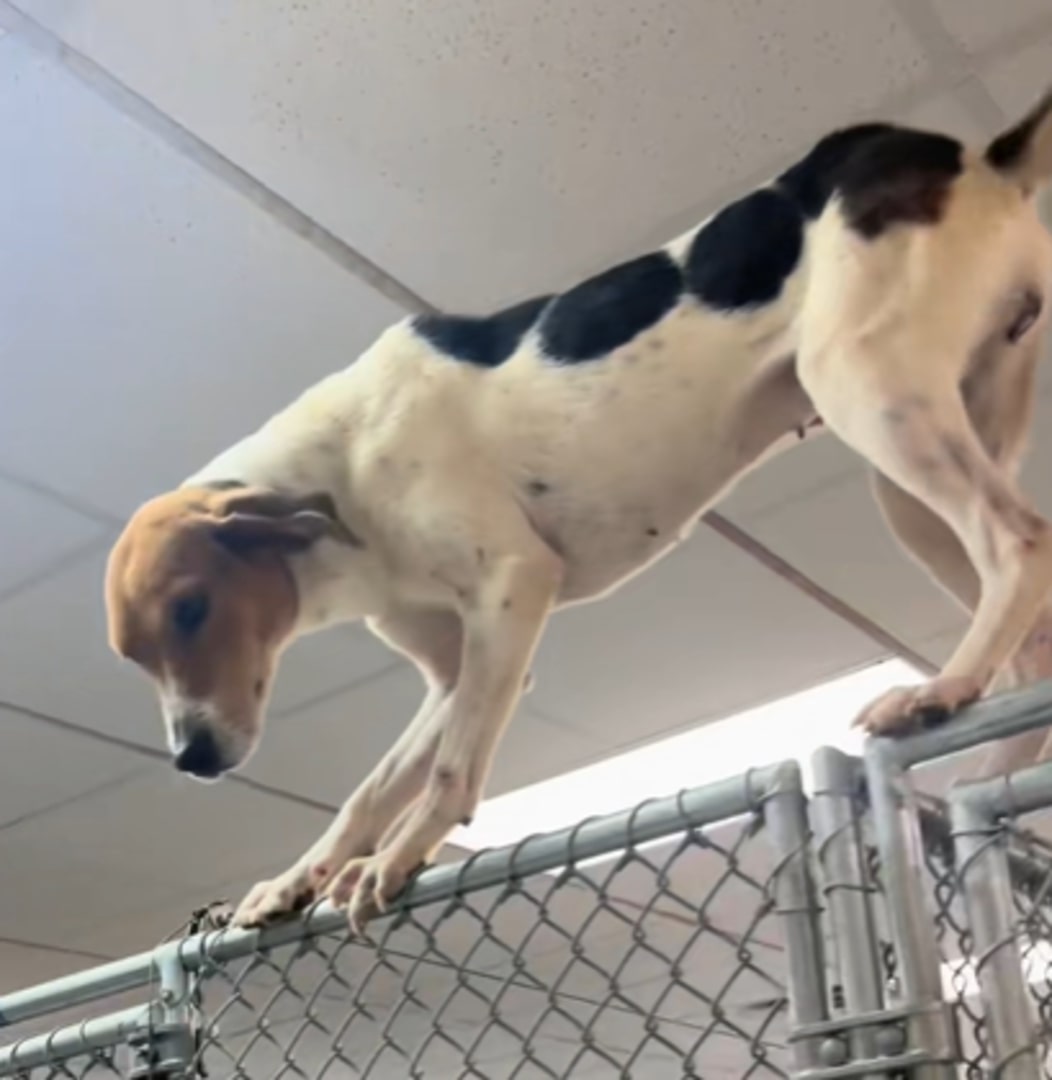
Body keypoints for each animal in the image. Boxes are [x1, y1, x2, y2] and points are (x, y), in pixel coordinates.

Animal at [103, 86, 1052, 928]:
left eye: (191, 609)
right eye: (136, 658)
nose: (191, 760)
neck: (338, 478)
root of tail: (979, 157)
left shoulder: (512, 586)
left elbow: (450, 772)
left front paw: (397, 858)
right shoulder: (457, 663)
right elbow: (369, 788)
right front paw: (298, 878)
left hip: (867, 393)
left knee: (1021, 542)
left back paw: (943, 689)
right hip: (913, 481)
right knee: (1029, 643)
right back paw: (986, 780)